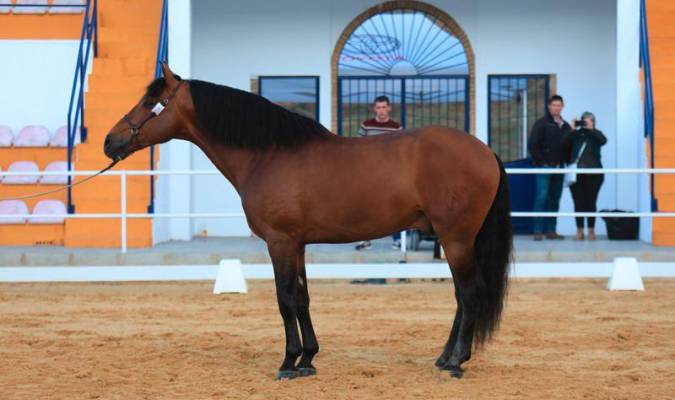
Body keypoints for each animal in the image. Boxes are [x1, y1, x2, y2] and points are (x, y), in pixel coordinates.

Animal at [103, 62, 512, 378]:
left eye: (152, 102)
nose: (110, 141)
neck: (269, 154)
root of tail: (484, 150)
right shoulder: (296, 243)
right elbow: (302, 297)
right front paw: (308, 359)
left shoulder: (279, 241)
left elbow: (284, 298)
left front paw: (288, 363)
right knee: (460, 296)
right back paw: (444, 357)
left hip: (456, 238)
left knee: (469, 292)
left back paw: (456, 362)